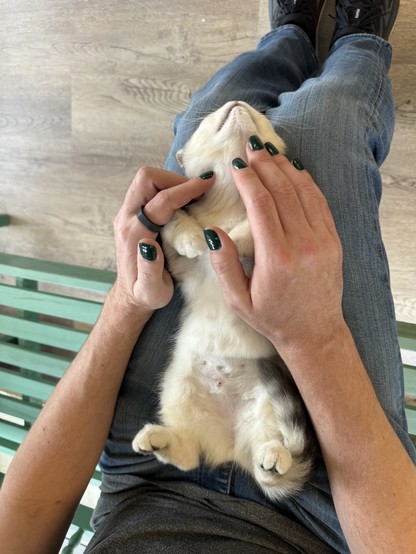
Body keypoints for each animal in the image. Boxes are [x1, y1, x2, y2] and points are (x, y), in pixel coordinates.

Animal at [133, 101, 316, 498]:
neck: (231, 203)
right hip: (177, 390)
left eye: (261, 120)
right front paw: (192, 236)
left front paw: (235, 236)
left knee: (272, 459)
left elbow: (252, 231)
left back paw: (272, 457)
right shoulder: (177, 266)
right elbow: (172, 220)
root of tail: (230, 445)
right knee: (189, 456)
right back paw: (159, 441)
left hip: (267, 407)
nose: (237, 102)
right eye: (209, 117)